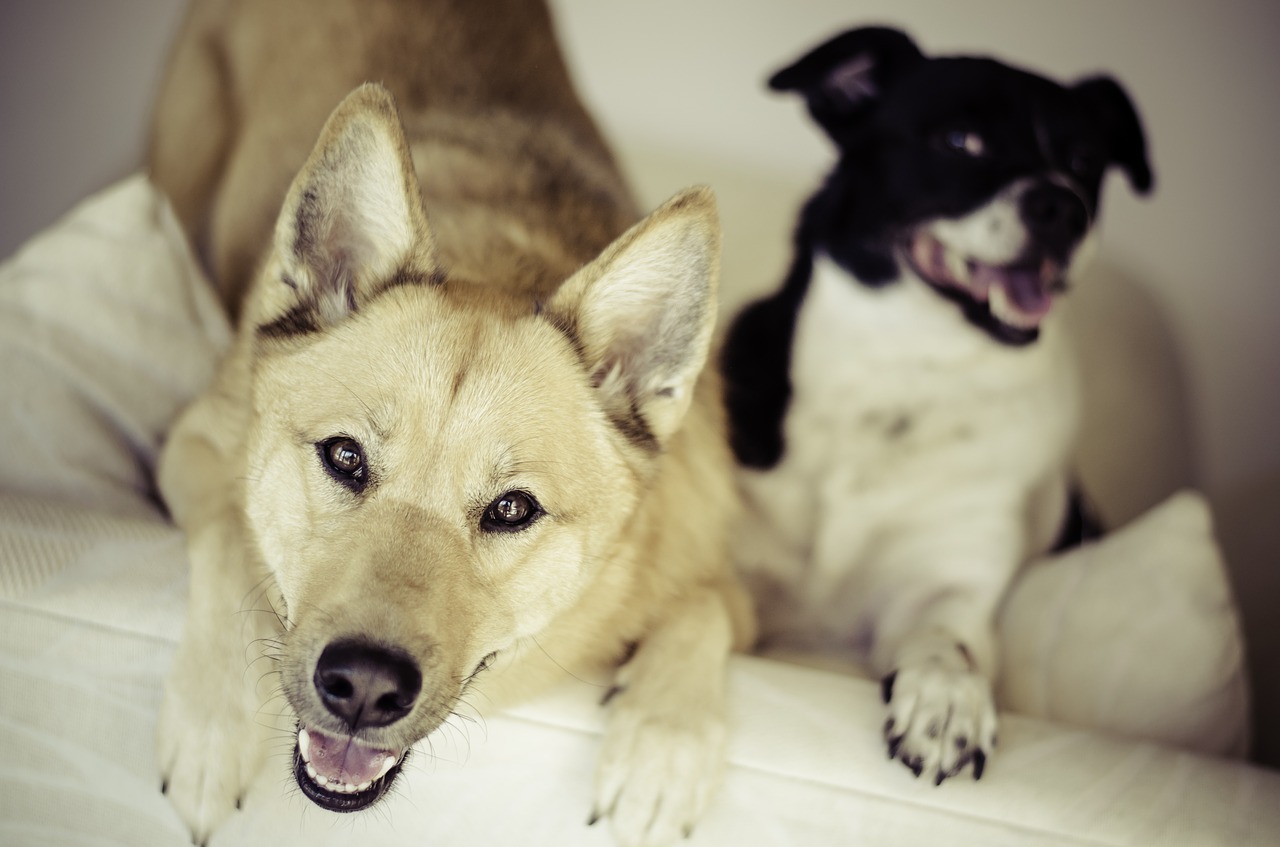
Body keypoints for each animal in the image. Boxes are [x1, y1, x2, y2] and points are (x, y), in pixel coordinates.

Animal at [147, 3, 757, 844]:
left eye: (512, 508)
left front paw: (661, 749)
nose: (364, 687)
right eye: (344, 456)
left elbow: (701, 614)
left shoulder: (732, 590)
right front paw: (213, 721)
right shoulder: (195, 440)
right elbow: (229, 543)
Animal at [727, 24, 1157, 783]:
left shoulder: (948, 580)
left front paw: (948, 699)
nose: (1063, 207)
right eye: (962, 141)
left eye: (1083, 161)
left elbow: (943, 640)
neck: (908, 370)